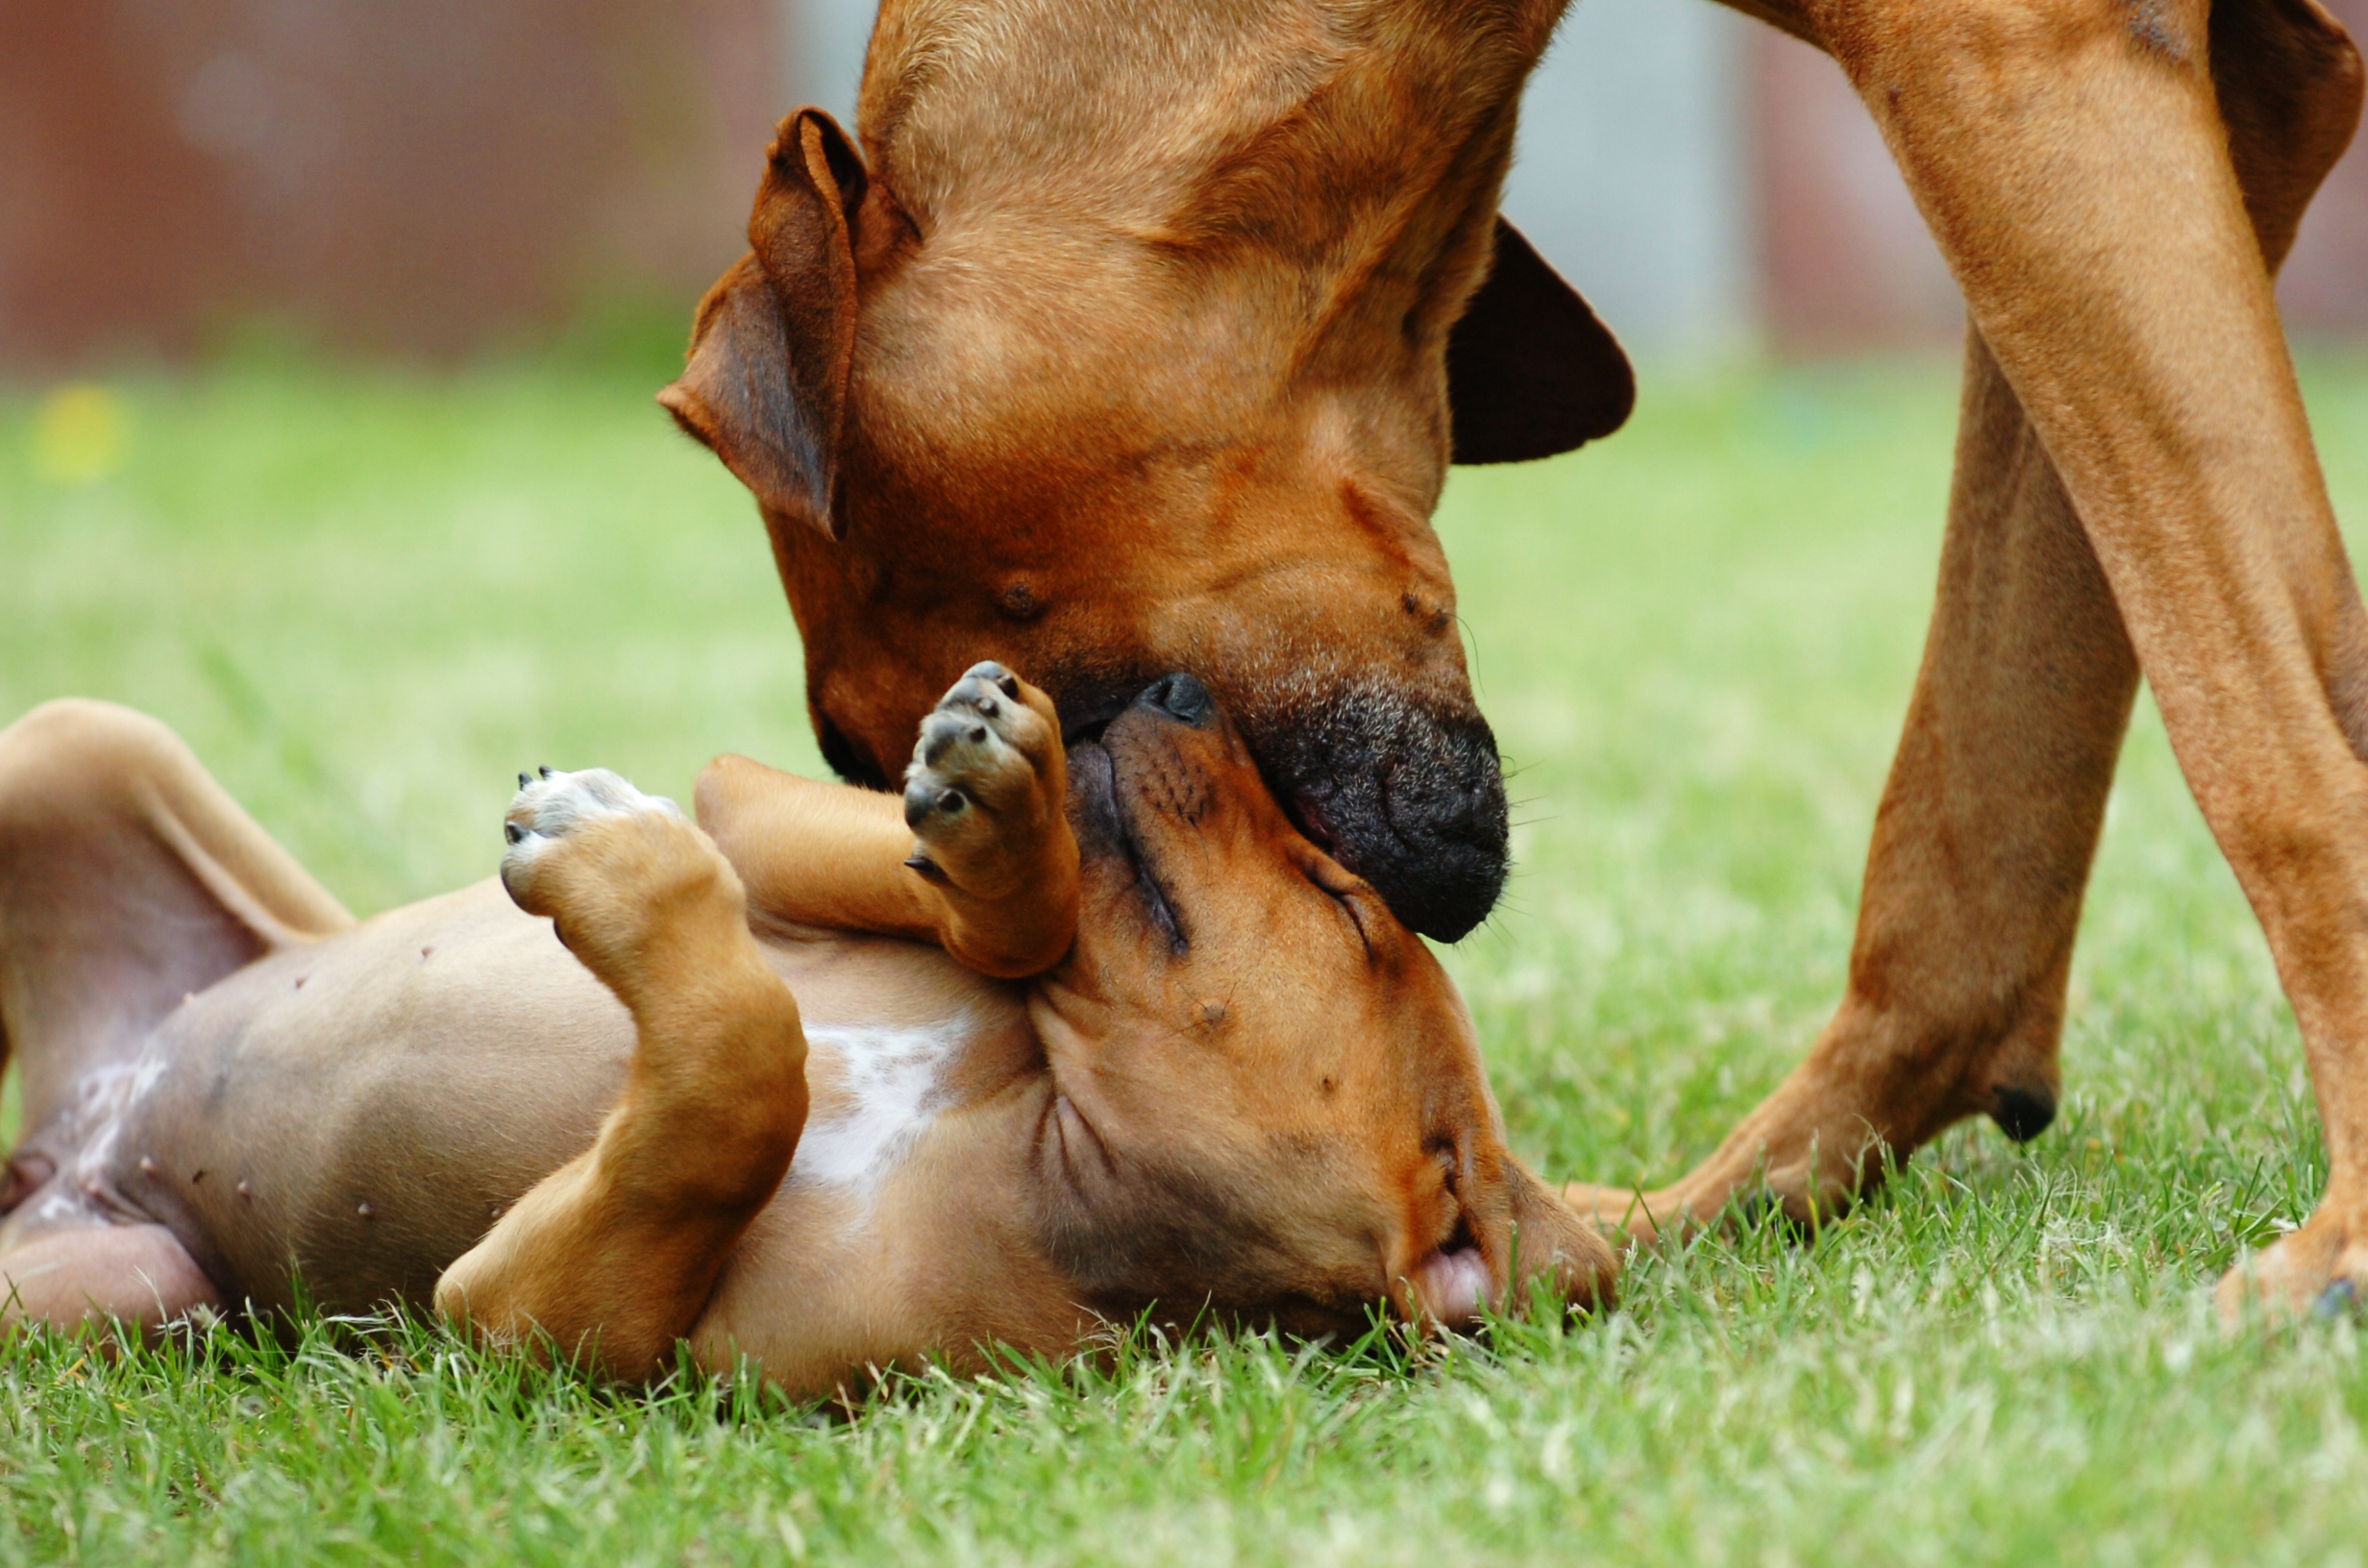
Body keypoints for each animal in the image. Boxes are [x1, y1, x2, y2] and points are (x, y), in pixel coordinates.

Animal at [0, 668, 1610, 1392]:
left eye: (1343, 905)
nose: (1174, 684)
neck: (1031, 1142)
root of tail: (67, 1136)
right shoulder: (760, 822)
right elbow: (911, 908)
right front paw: (1003, 828)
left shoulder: (532, 1331)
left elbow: (742, 1074)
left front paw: (616, 868)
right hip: (75, 741)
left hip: (131, 1295)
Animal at [657, 3, 2368, 1316]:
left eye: (868, 741)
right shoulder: (2238, 90)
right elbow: (1985, 797)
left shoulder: (2015, 60)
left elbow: (2260, 742)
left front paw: (2345, 1243)